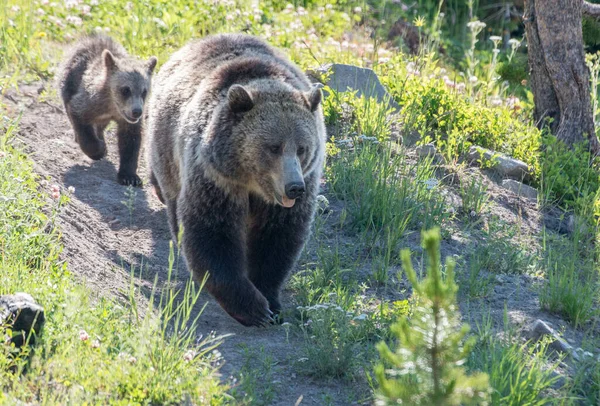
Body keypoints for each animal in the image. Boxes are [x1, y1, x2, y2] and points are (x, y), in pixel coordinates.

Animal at [56, 33, 157, 186]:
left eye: (144, 91)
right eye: (125, 89)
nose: (137, 111)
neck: (112, 107)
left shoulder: (127, 121)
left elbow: (131, 142)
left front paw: (130, 176)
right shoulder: (88, 102)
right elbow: (79, 118)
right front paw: (98, 150)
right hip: (70, 78)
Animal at [145, 34, 324, 326]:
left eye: (302, 148)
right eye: (273, 147)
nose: (294, 187)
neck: (250, 182)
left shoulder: (295, 191)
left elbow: (277, 238)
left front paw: (270, 300)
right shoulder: (214, 178)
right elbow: (212, 231)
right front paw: (253, 308)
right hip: (167, 148)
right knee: (173, 202)